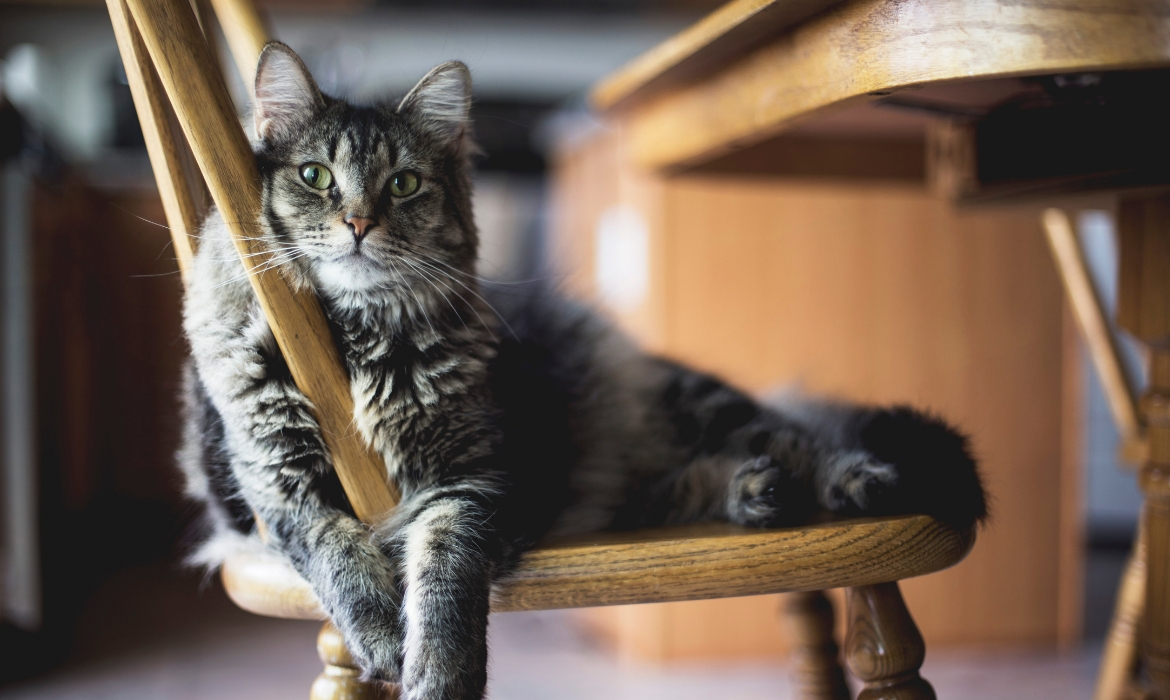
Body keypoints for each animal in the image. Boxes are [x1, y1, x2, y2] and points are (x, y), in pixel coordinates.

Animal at [180, 42, 987, 700]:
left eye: (403, 184)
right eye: (315, 175)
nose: (357, 224)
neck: (354, 339)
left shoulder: (473, 481)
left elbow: (444, 576)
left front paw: (439, 672)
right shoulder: (275, 486)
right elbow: (336, 553)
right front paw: (382, 636)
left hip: (698, 406)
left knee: (798, 438)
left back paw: (851, 480)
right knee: (683, 482)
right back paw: (754, 493)